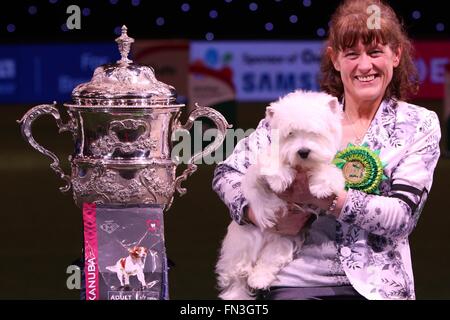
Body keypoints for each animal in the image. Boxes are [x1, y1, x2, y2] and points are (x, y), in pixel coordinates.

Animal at [215, 90, 344, 300]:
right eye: (290, 134)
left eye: (314, 133)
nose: (303, 151)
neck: (300, 167)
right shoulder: (260, 170)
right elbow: (271, 166)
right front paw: (280, 179)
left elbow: (326, 170)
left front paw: (321, 187)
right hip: (243, 241)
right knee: (237, 274)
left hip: (283, 241)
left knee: (268, 262)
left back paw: (259, 279)